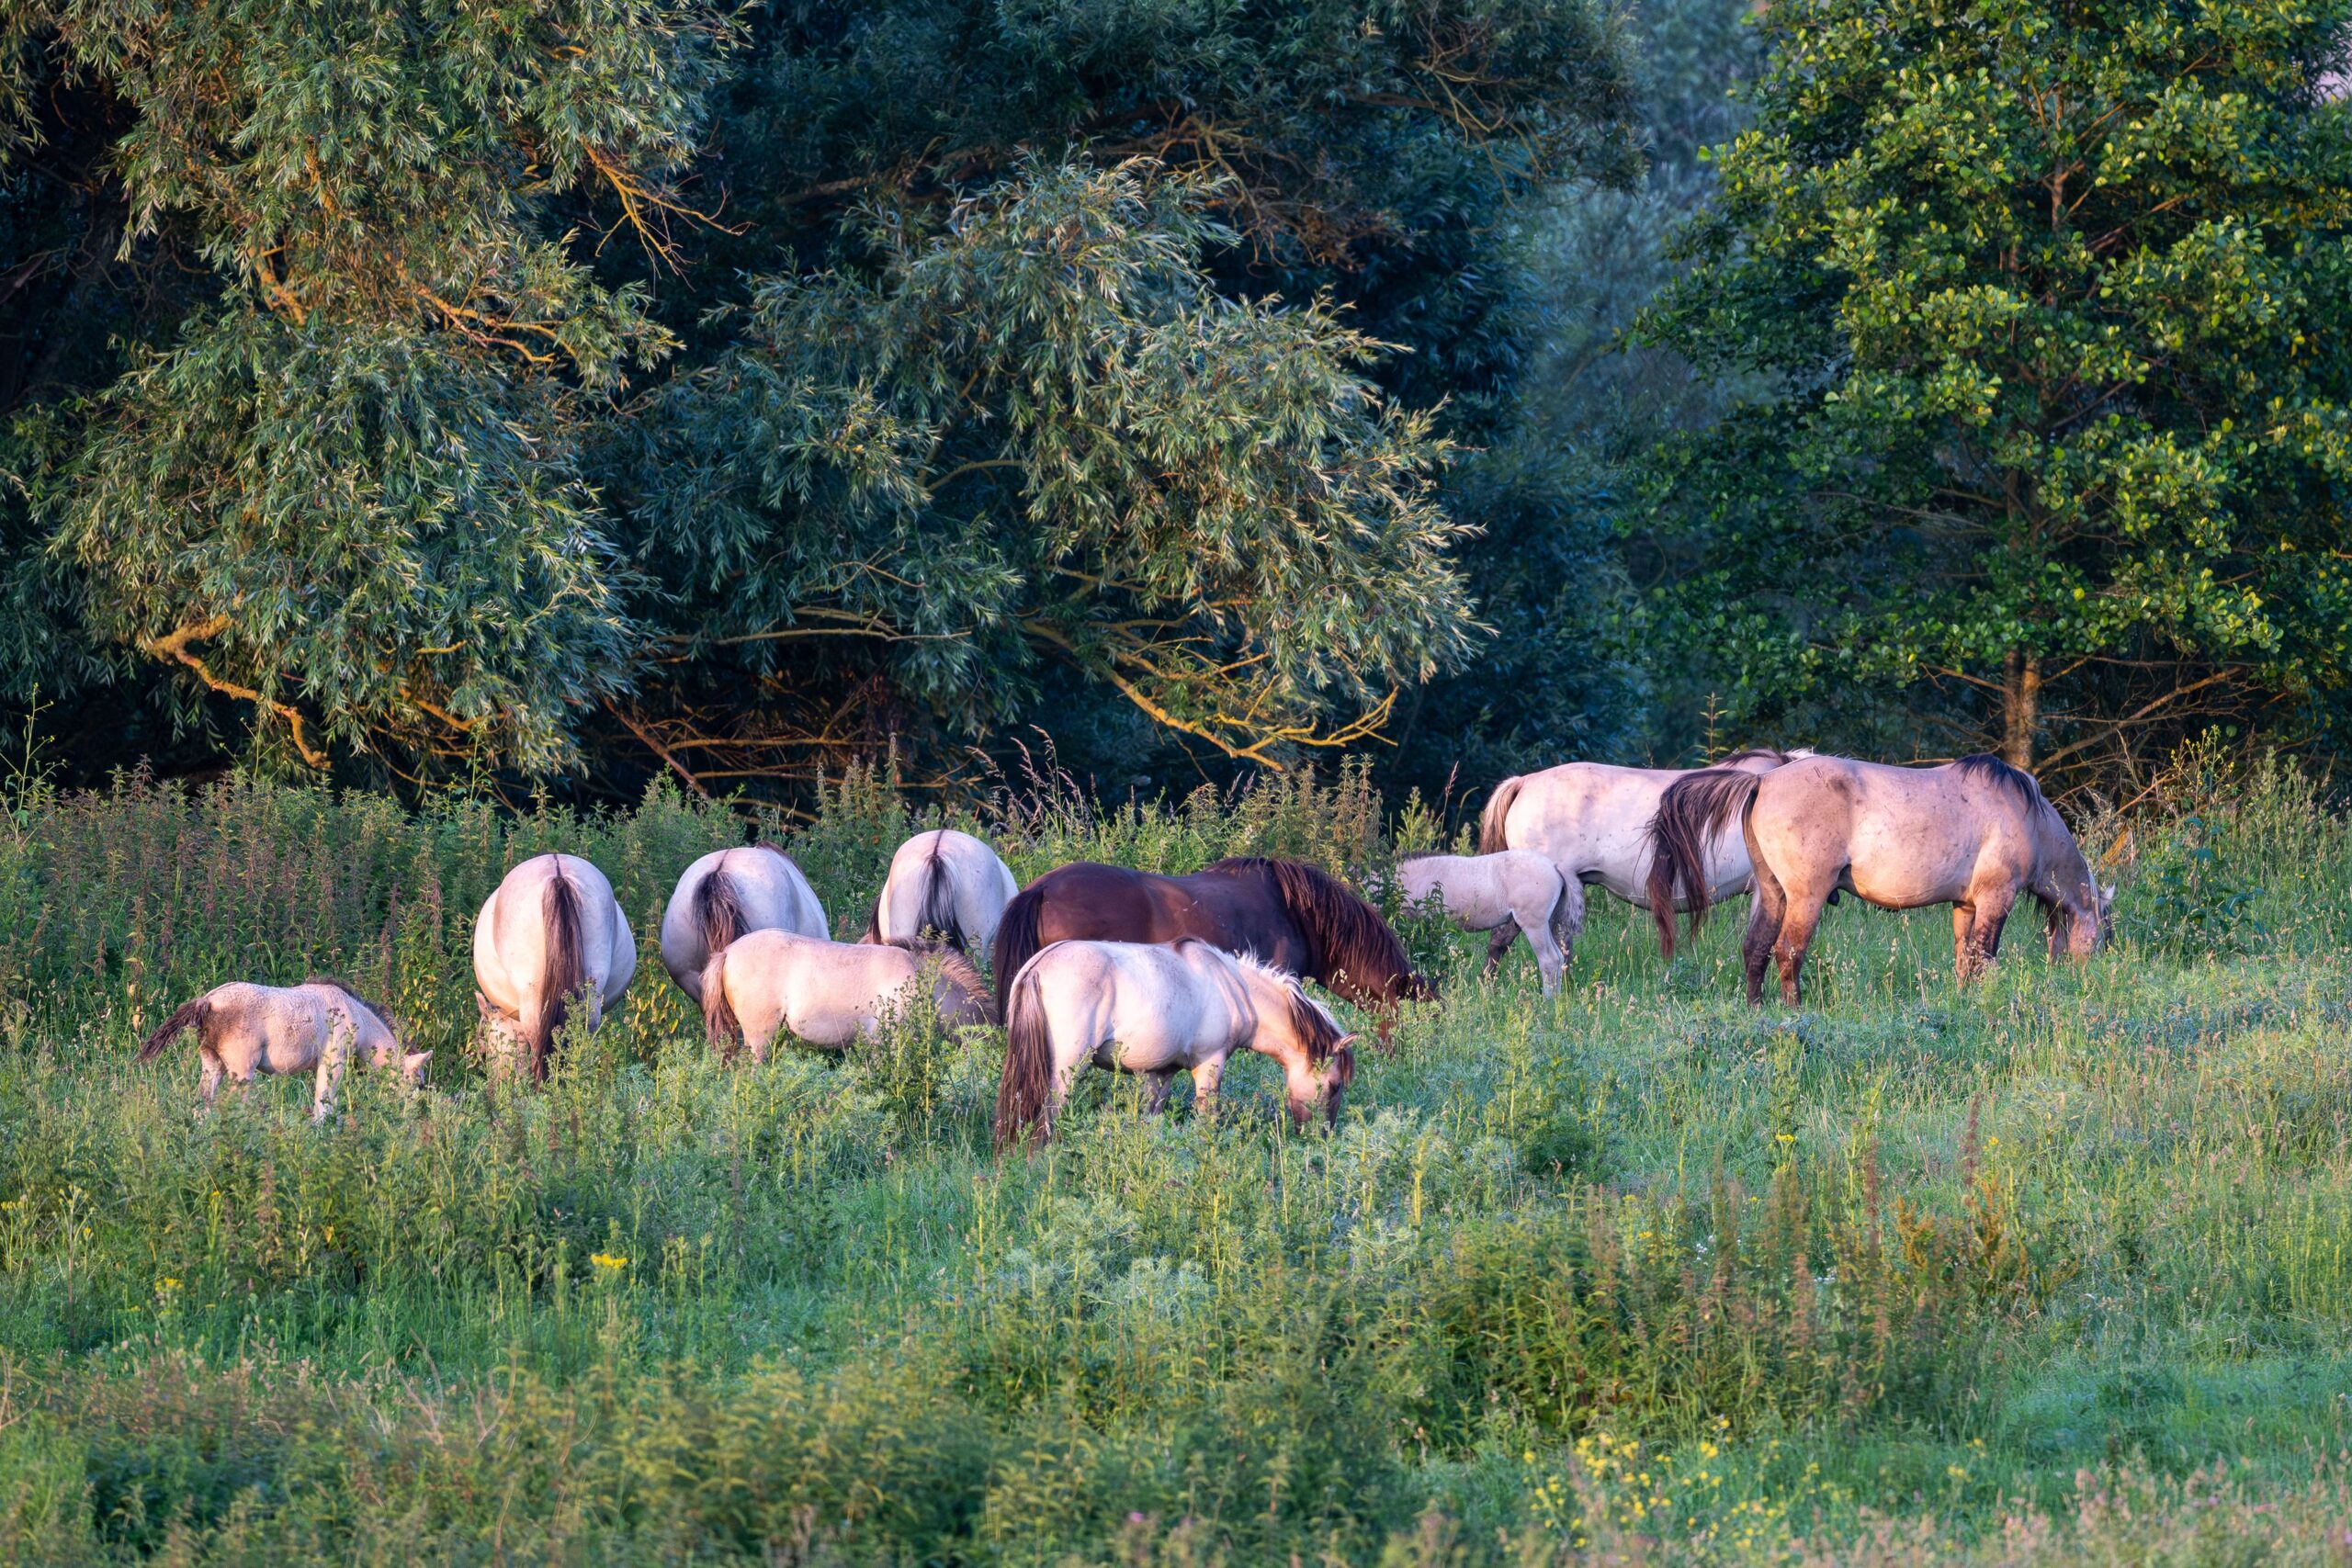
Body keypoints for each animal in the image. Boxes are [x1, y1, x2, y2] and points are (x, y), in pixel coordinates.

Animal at [137, 978, 429, 1120]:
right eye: (417, 1082)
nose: (414, 1113)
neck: (354, 1015)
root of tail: (206, 1002)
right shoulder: (332, 1063)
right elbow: (324, 1105)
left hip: (212, 1065)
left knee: (202, 1106)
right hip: (241, 1072)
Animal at [993, 938, 1357, 1148]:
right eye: (1334, 1085)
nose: (1321, 1138)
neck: (1234, 988)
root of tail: (1037, 967)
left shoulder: (1159, 1074)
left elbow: (1151, 1122)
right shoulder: (1210, 1064)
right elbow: (1207, 1119)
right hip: (1065, 1071)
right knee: (1046, 1119)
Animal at [1381, 850, 1575, 997]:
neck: (1413, 878)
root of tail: (1554, 867)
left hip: (1534, 925)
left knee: (1549, 960)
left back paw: (1548, 1001)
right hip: (1545, 924)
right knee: (1559, 958)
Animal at [1646, 753, 2113, 1006]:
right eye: (2106, 933)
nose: (2088, 978)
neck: (2027, 815)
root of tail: (1762, 779)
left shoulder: (1966, 905)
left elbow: (1964, 957)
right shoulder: (1996, 900)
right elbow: (1983, 956)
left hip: (1773, 894)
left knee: (1756, 949)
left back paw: (1757, 1008)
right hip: (1805, 898)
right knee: (1788, 951)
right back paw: (1794, 1009)